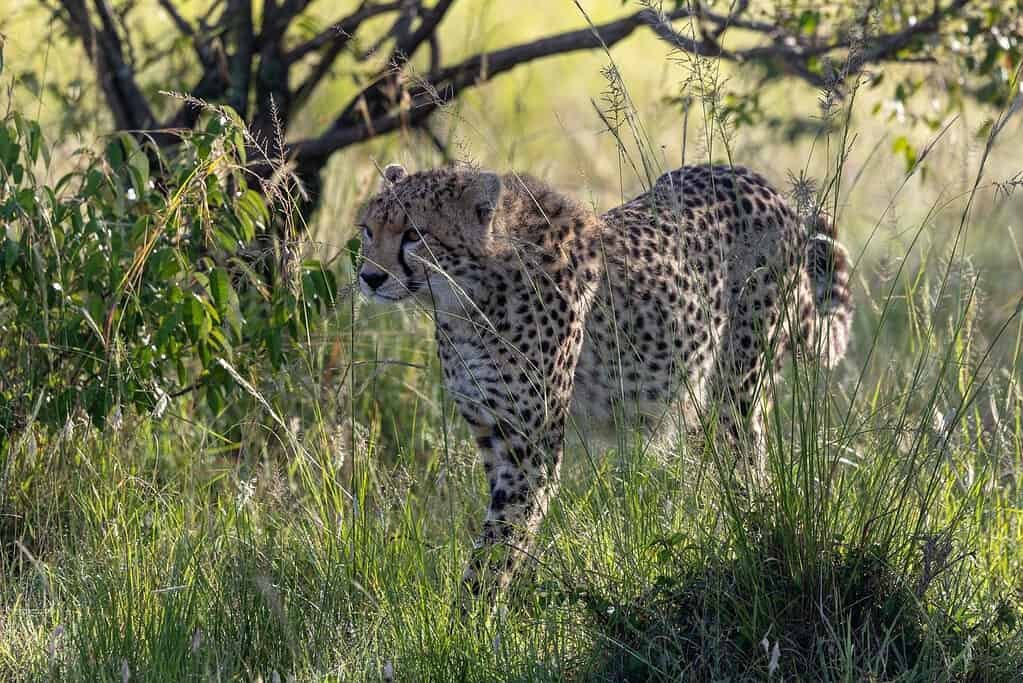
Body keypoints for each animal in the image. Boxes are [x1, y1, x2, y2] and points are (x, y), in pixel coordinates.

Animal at [355, 162, 853, 597]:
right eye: (367, 230)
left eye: (414, 235)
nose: (369, 277)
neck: (466, 298)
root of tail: (760, 184)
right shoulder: (495, 434)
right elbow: (506, 530)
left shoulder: (530, 449)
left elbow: (501, 540)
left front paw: (473, 618)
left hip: (737, 390)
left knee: (748, 467)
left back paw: (753, 539)